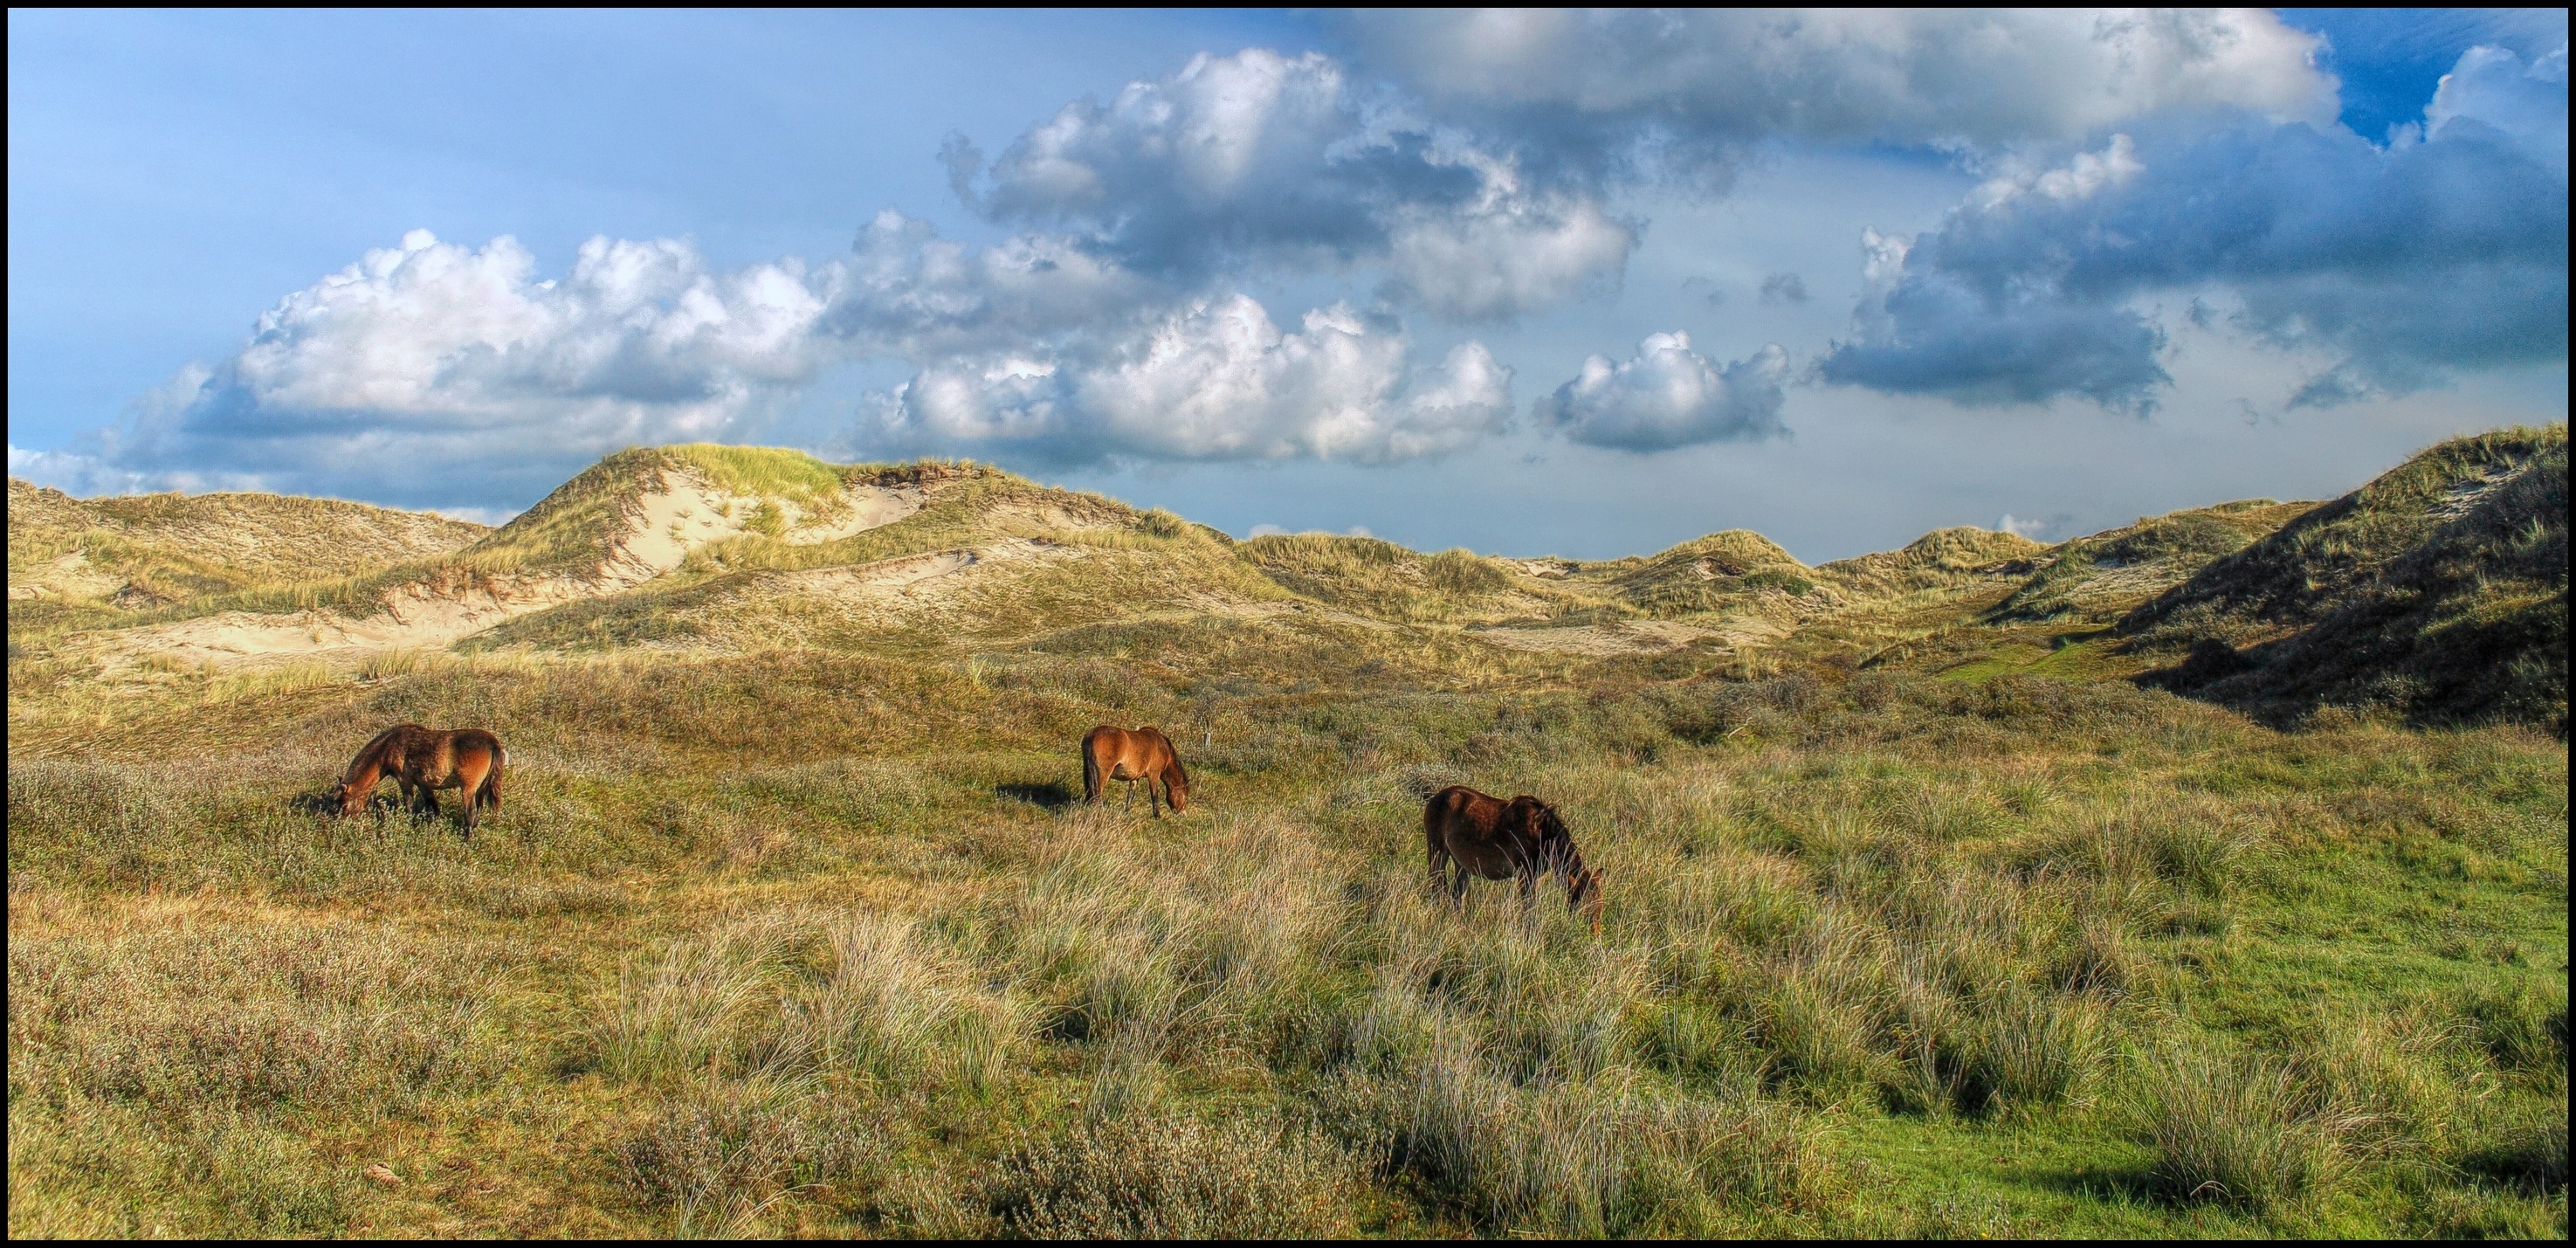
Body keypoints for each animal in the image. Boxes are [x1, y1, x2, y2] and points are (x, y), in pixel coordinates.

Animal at [334, 724, 507, 840]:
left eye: (344, 804)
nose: (342, 824)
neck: (388, 748)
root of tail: (493, 743)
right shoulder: (424, 784)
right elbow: (433, 806)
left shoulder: (405, 780)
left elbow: (409, 806)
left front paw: (412, 827)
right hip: (481, 788)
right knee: (479, 809)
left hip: (468, 789)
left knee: (470, 812)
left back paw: (466, 838)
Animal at [1423, 785, 1603, 928]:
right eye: (1584, 906)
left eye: (1601, 905)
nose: (1593, 935)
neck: (1541, 831)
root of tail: (1434, 799)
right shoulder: (1525, 873)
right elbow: (1528, 906)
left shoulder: (1535, 876)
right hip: (1437, 852)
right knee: (1436, 887)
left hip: (1461, 863)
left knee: (1457, 896)